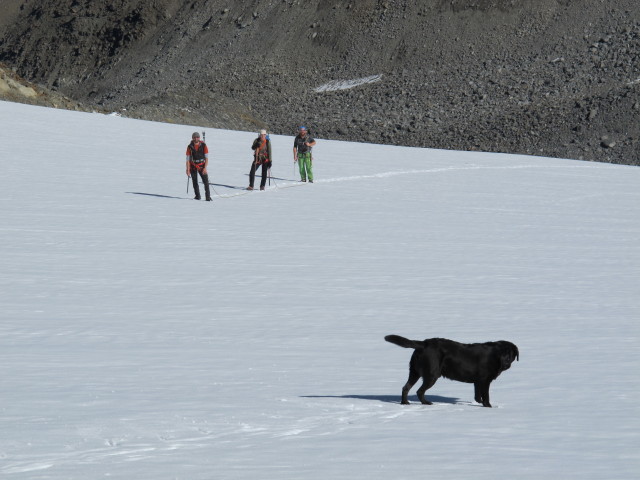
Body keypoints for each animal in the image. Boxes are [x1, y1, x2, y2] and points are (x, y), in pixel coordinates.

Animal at [382, 336, 516, 406]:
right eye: (503, 354)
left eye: (511, 354)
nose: (506, 363)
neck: (494, 356)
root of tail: (424, 343)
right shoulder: (484, 381)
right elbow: (486, 396)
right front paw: (488, 406)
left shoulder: (477, 382)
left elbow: (477, 396)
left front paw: (478, 404)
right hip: (432, 375)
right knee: (419, 391)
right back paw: (426, 403)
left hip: (414, 372)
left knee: (406, 387)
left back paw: (405, 403)